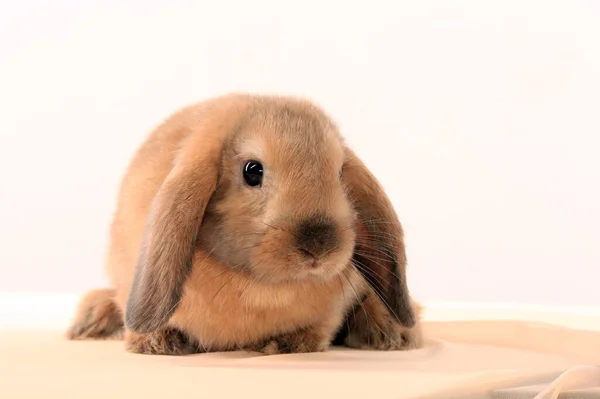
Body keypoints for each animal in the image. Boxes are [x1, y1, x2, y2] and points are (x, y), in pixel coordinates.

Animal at [67, 94, 422, 356]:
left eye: (338, 173)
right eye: (252, 171)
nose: (319, 246)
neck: (260, 287)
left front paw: (288, 343)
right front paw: (156, 342)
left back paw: (392, 332)